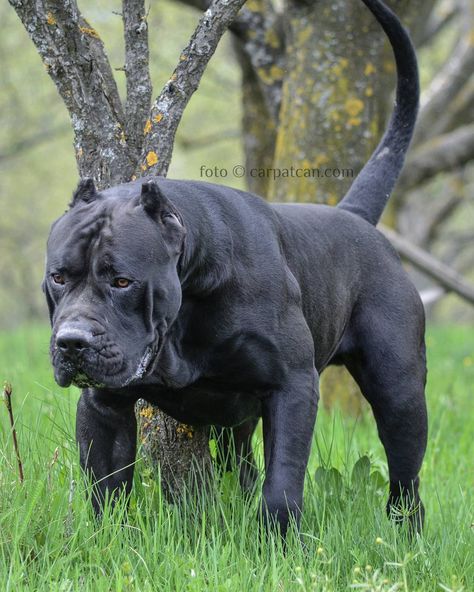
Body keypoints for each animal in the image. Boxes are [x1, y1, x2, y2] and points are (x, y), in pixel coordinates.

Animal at [44, 0, 428, 536]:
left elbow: (282, 485)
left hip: (399, 390)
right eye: (59, 278)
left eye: (122, 281)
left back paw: (405, 535)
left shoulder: (292, 387)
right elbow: (107, 489)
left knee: (405, 475)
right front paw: (107, 541)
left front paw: (280, 544)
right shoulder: (105, 406)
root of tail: (354, 217)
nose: (72, 342)